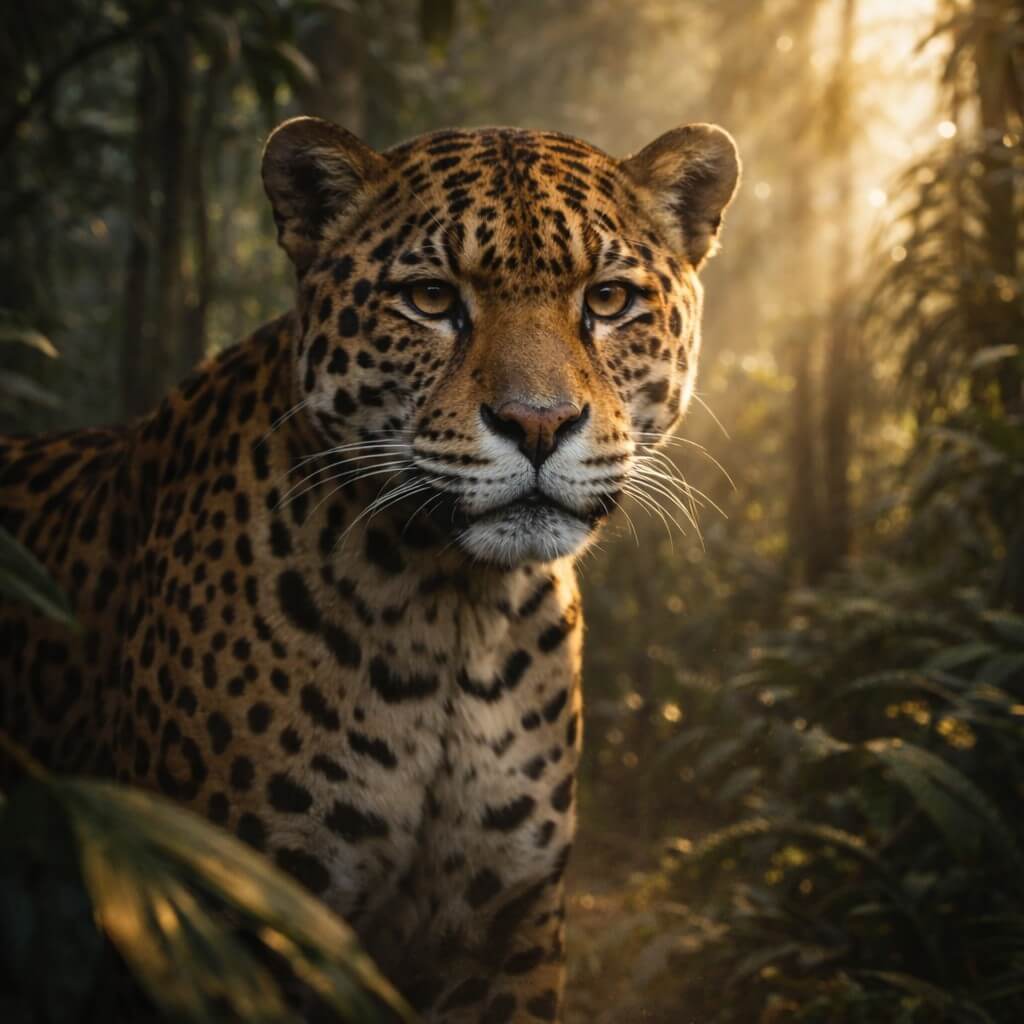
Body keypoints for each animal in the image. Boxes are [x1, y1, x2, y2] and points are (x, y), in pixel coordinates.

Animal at [0, 115, 739, 1022]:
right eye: (430, 299)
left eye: (607, 300)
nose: (537, 423)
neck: (455, 611)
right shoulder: (231, 923)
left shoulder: (507, 929)